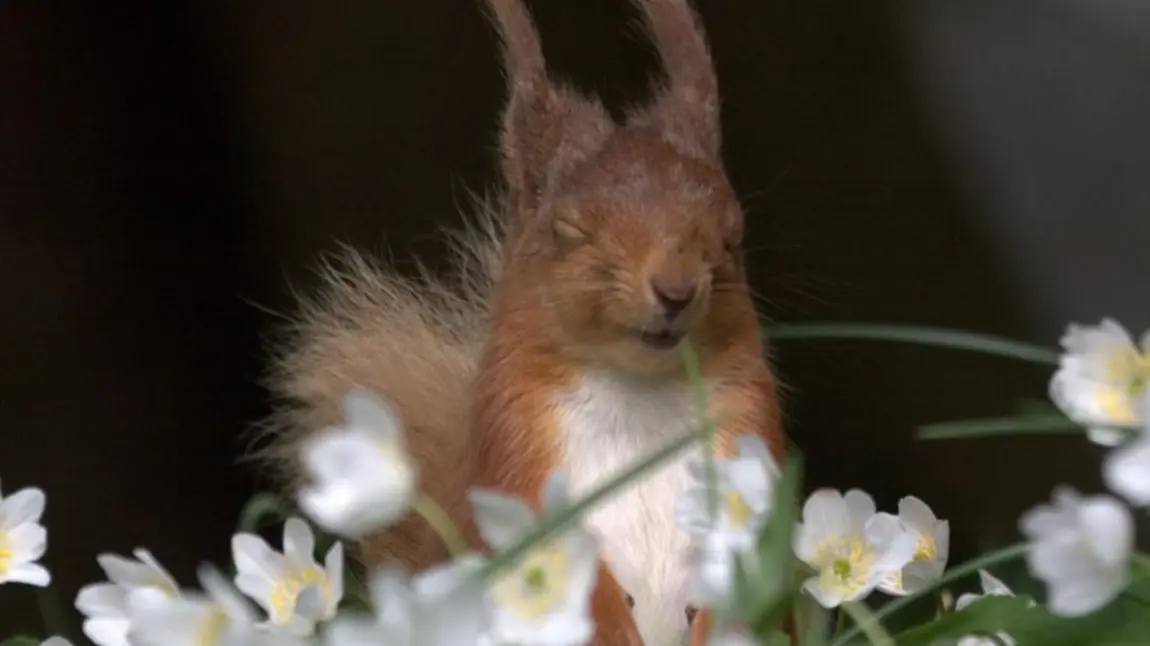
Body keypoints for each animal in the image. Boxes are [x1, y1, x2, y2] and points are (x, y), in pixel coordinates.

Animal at [258, 1, 791, 643]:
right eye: (569, 230)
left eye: (732, 230)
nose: (676, 289)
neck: (639, 388)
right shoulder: (518, 454)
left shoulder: (747, 430)